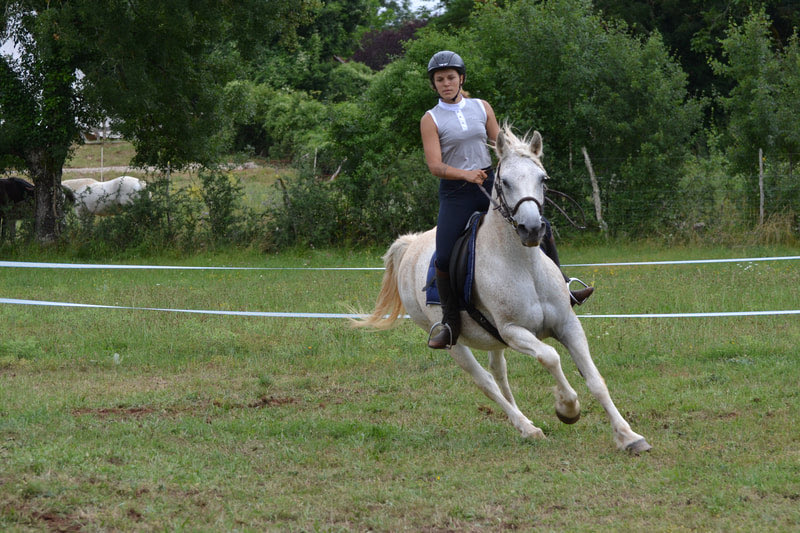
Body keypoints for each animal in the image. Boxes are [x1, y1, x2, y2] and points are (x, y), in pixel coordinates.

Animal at [354, 125, 651, 453]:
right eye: (505, 181)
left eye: (543, 178)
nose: (531, 229)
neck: (523, 266)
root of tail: (410, 243)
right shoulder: (513, 331)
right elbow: (550, 357)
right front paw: (567, 408)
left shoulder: (567, 324)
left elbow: (595, 379)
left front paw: (629, 437)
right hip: (454, 342)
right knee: (486, 381)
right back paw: (527, 427)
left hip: (492, 339)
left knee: (500, 374)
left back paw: (523, 423)